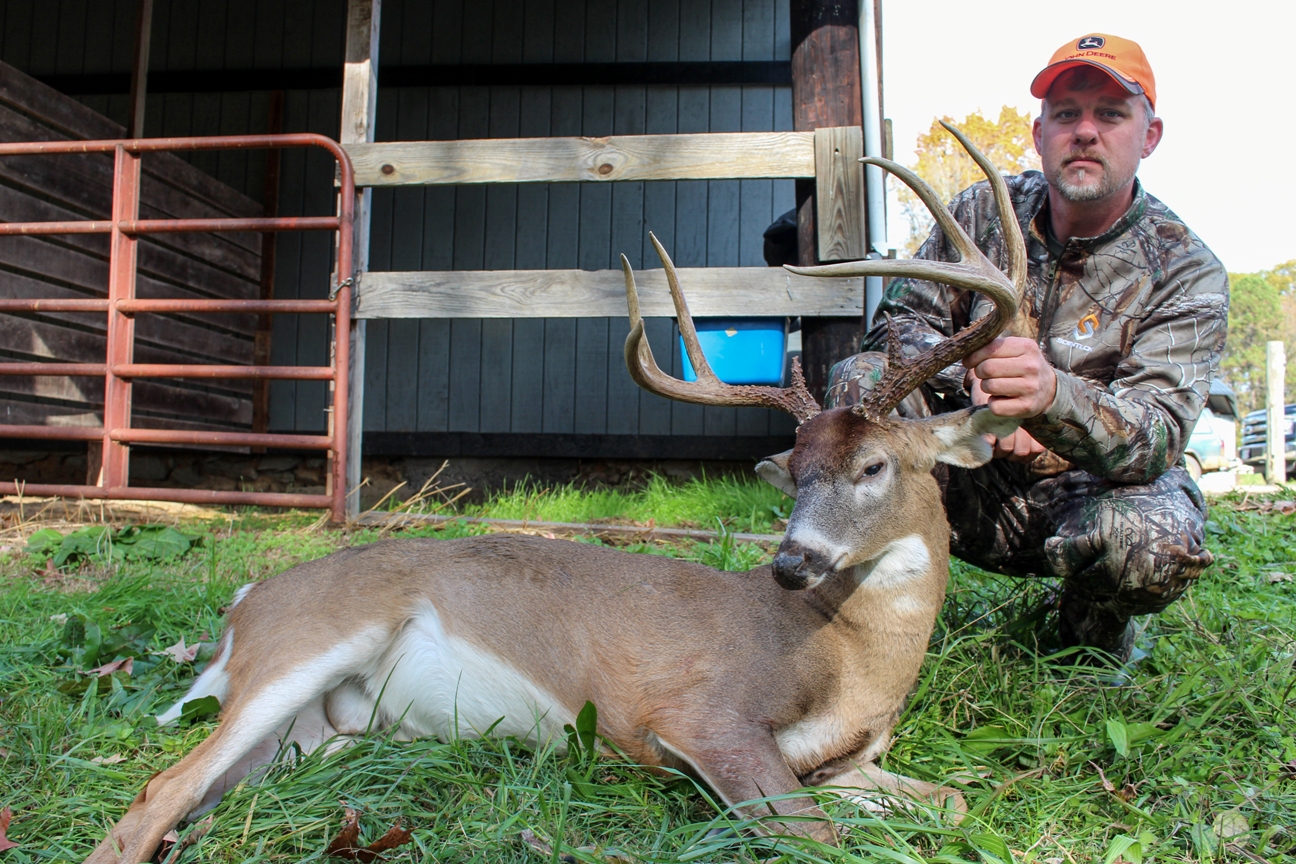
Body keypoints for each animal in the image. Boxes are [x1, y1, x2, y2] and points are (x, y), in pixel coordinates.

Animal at [85, 125, 1027, 863]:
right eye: (794, 473)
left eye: (873, 467)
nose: (792, 563)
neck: (845, 660)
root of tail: (245, 602)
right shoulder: (695, 716)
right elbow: (817, 837)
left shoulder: (843, 762)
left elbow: (954, 801)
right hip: (302, 646)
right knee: (154, 796)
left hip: (315, 738)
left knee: (204, 798)